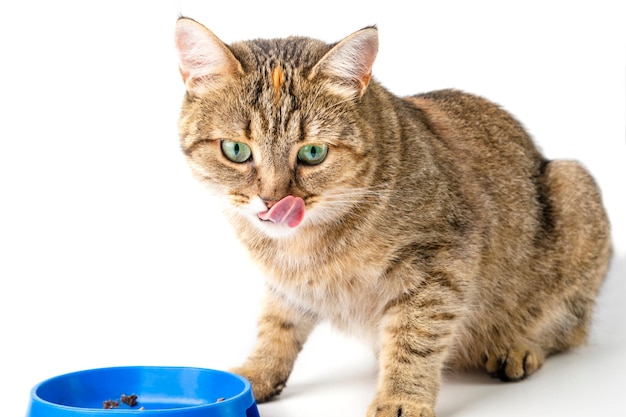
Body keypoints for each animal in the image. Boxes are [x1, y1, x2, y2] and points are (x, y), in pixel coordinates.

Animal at [174, 17, 608, 416]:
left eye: (313, 153)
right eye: (236, 150)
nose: (272, 200)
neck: (309, 242)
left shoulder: (438, 263)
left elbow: (415, 336)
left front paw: (402, 398)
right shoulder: (288, 284)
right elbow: (276, 326)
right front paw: (257, 374)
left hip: (573, 185)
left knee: (567, 326)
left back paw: (518, 347)